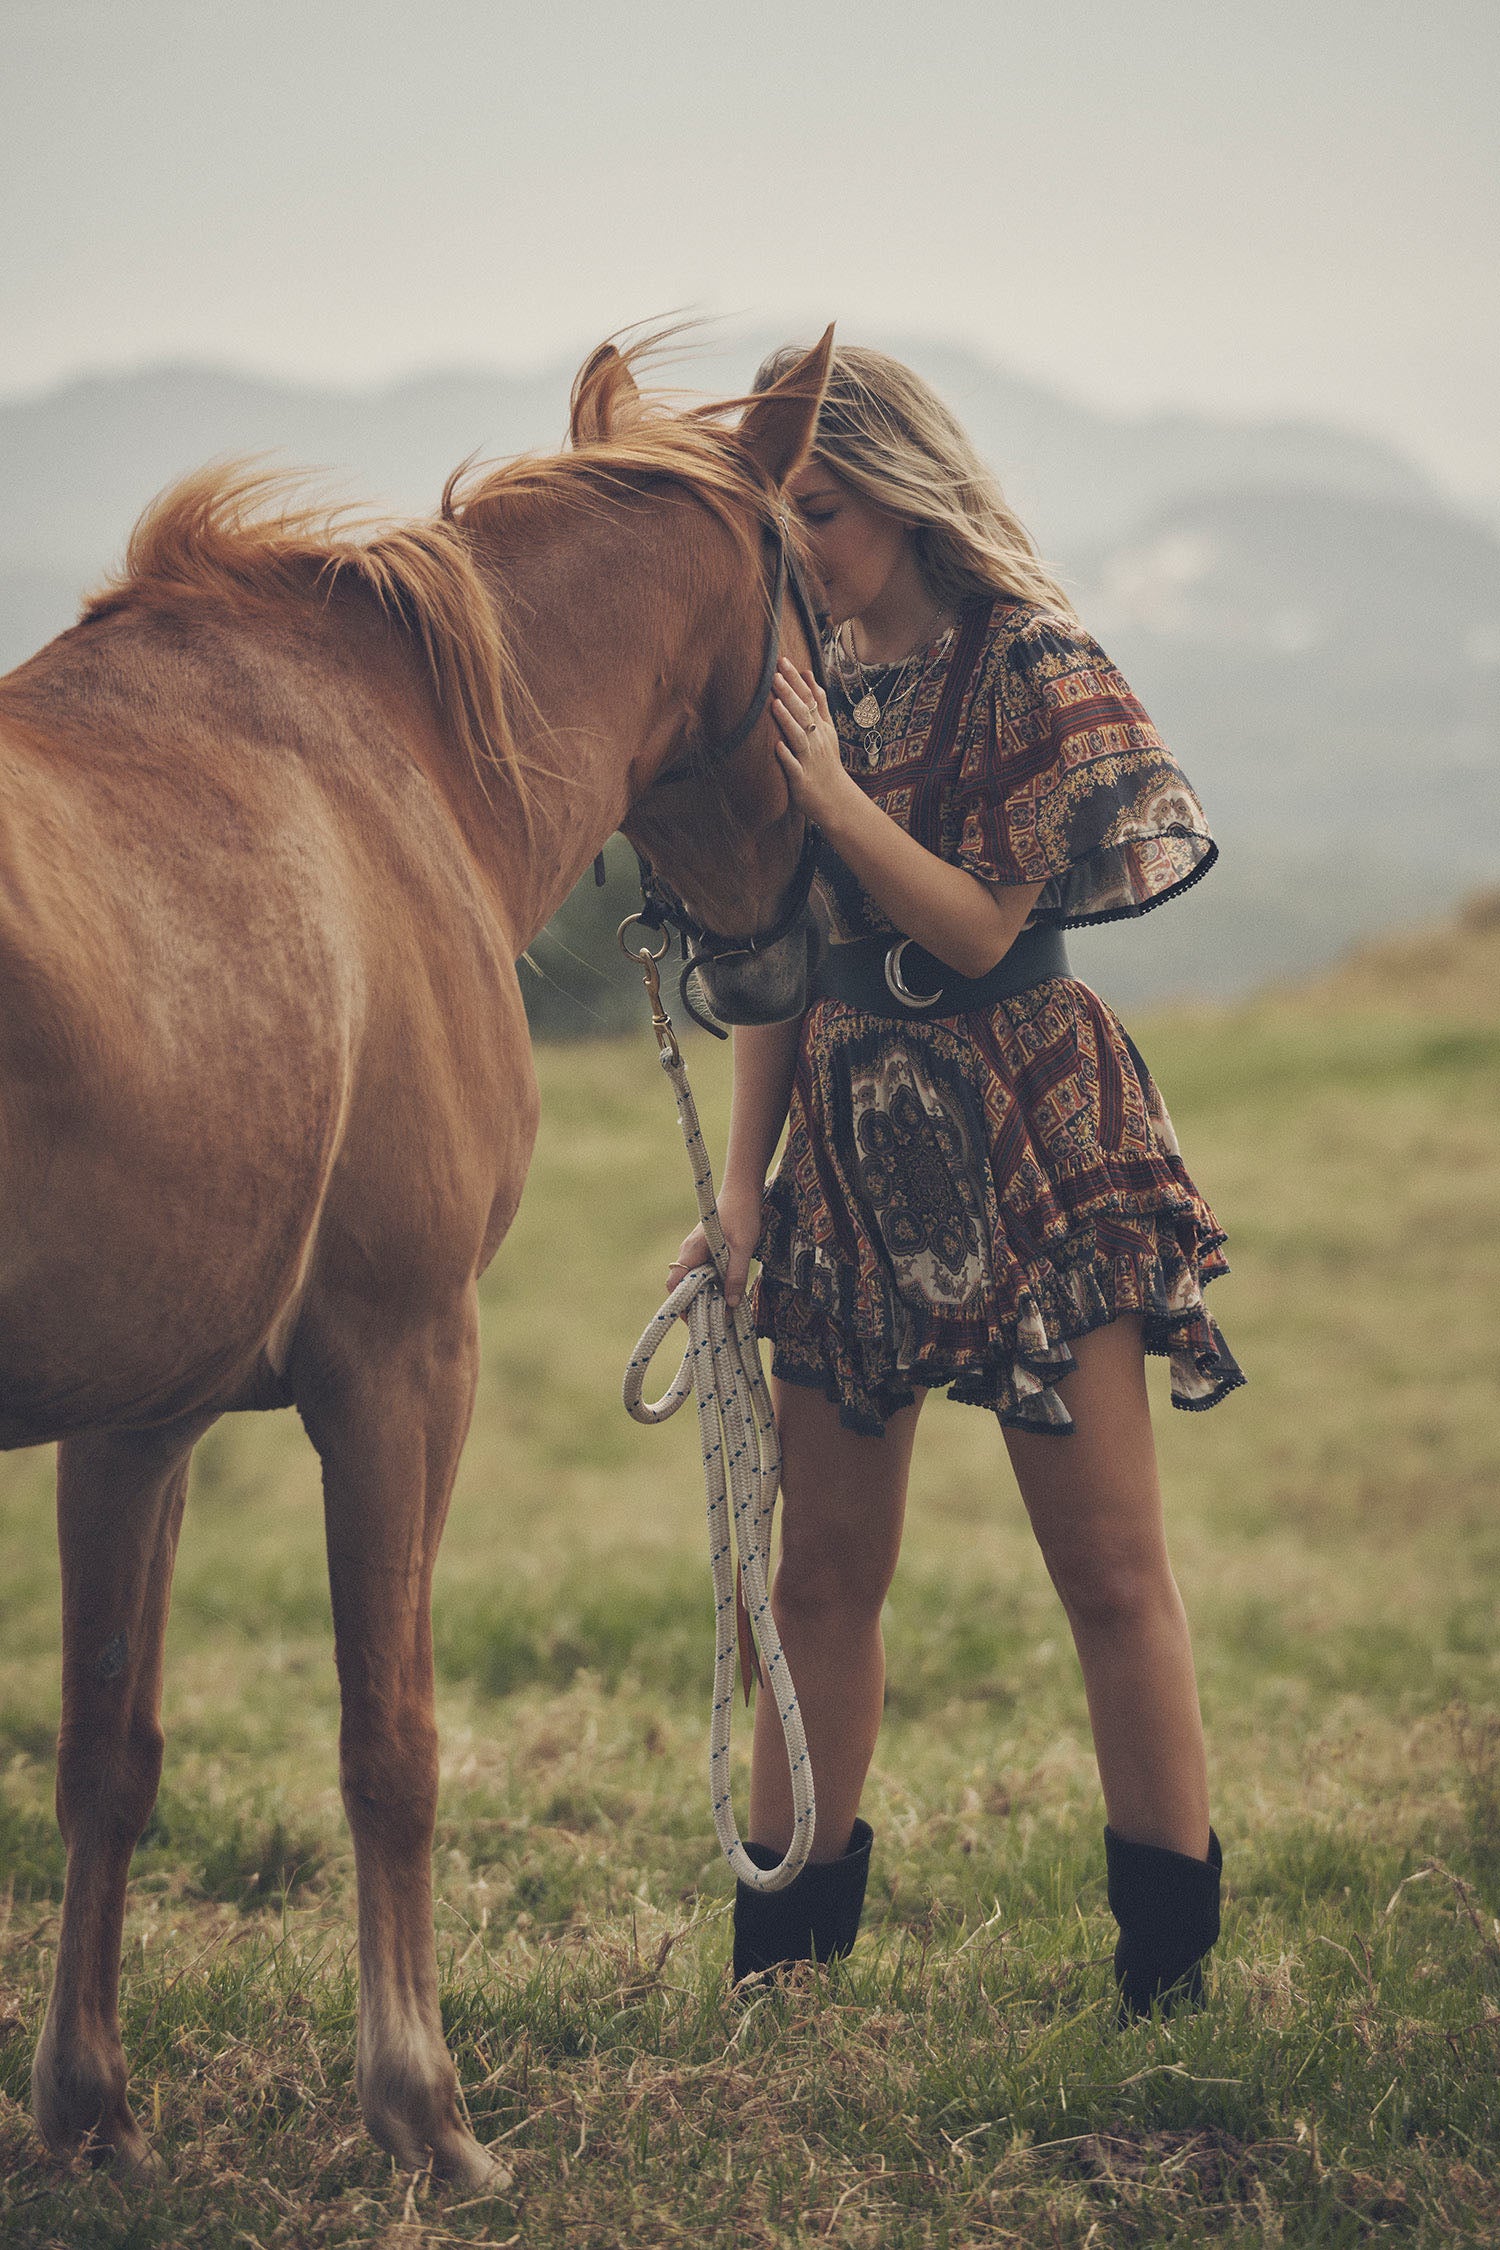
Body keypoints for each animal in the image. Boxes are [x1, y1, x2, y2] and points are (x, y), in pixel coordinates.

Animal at [0, 326, 832, 2169]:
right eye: (815, 608)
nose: (796, 935)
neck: (396, 764)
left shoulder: (137, 1416)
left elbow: (106, 1750)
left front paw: (87, 2109)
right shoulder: (402, 1361)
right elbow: (393, 1738)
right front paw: (422, 2107)